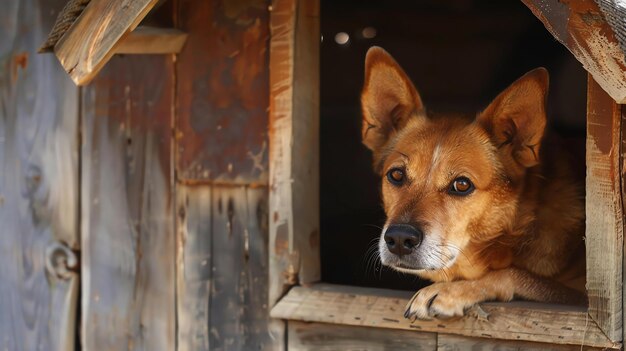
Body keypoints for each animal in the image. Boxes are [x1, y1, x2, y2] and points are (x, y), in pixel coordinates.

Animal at [360, 46, 584, 322]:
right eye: (397, 175)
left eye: (462, 185)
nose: (400, 238)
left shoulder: (584, 300)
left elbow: (514, 274)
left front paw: (448, 291)